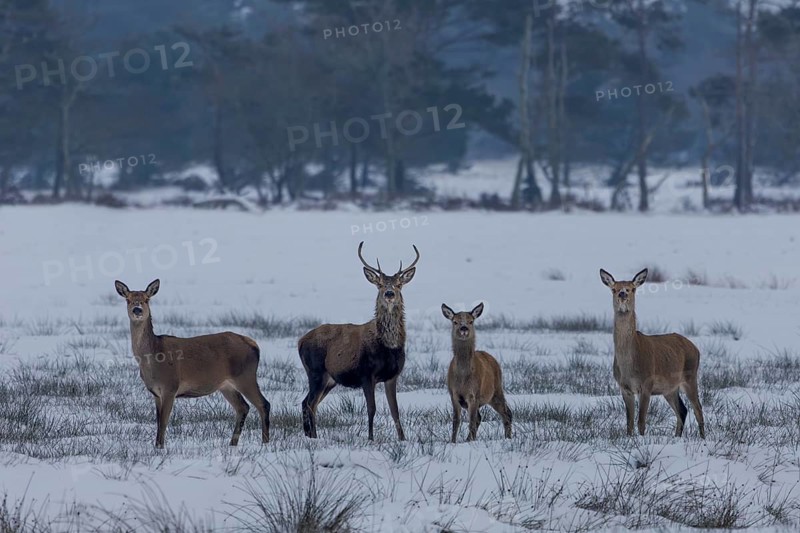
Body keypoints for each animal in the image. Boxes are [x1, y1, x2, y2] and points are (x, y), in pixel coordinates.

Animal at [114, 279, 271, 448]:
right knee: (243, 407)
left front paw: (160, 448)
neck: (153, 357)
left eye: (146, 299)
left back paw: (265, 443)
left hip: (245, 376)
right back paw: (233, 444)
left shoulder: (170, 386)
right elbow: (158, 422)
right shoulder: (155, 392)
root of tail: (254, 345)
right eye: (128, 299)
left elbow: (163, 423)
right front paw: (156, 446)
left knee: (263, 404)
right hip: (226, 385)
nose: (137, 310)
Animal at [298, 241, 419, 441]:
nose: (389, 293)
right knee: (310, 403)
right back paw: (314, 436)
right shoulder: (366, 374)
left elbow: (395, 411)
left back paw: (309, 435)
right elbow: (372, 409)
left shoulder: (392, 376)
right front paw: (370, 438)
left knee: (305, 402)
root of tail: (300, 341)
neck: (389, 345)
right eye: (379, 284)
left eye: (399, 284)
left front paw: (403, 439)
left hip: (329, 379)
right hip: (316, 371)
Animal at [442, 302, 512, 443]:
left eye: (471, 321)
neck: (463, 377)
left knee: (507, 413)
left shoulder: (474, 394)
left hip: (496, 390)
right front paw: (453, 441)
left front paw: (470, 442)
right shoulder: (453, 393)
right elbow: (456, 421)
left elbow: (471, 422)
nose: (464, 328)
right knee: (481, 417)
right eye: (455, 321)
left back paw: (508, 437)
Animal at [599, 268, 705, 438]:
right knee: (682, 410)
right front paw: (629, 439)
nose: (622, 293)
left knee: (698, 409)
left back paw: (703, 438)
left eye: (632, 288)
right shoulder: (624, 388)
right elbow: (629, 423)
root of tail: (695, 348)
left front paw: (642, 440)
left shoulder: (647, 384)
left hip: (690, 375)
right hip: (670, 388)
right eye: (613, 289)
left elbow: (641, 422)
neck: (629, 366)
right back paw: (677, 436)